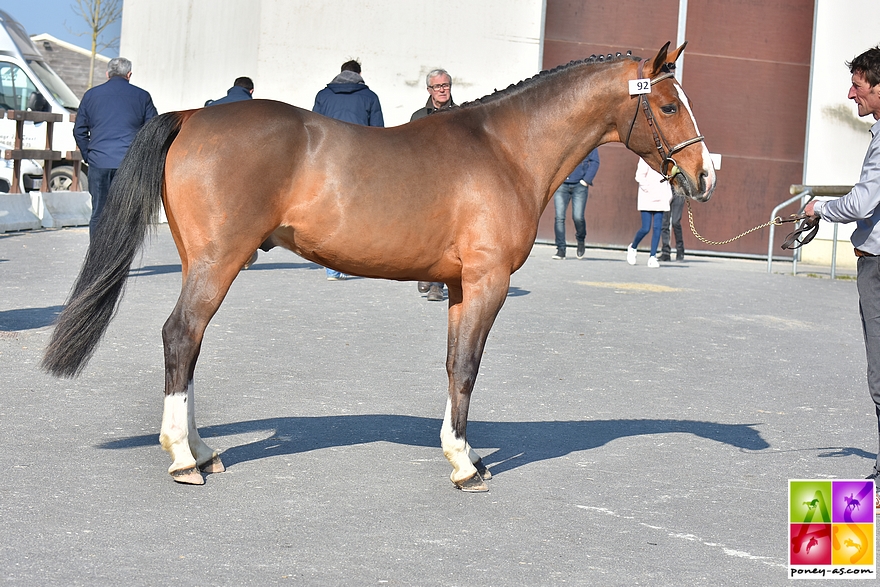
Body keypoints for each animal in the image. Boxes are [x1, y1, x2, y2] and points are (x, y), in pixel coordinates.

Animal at [43, 42, 716, 492]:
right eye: (666, 105)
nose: (703, 176)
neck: (504, 150)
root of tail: (193, 116)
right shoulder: (488, 282)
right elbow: (467, 368)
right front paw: (466, 466)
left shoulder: (458, 287)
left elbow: (452, 364)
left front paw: (459, 451)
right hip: (219, 262)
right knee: (181, 335)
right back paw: (185, 458)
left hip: (201, 261)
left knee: (189, 344)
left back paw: (204, 448)